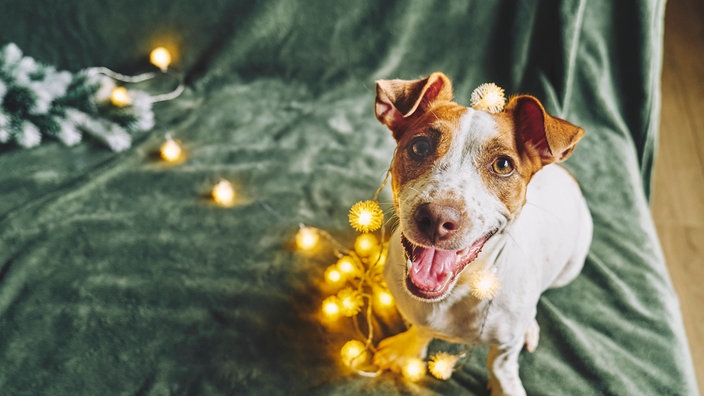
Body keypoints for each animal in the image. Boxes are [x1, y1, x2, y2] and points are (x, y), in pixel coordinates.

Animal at [372, 72, 592, 396]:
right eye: (420, 147)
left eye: (503, 165)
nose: (437, 218)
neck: (460, 288)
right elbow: (421, 328)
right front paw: (407, 348)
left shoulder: (504, 349)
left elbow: (501, 365)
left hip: (571, 268)